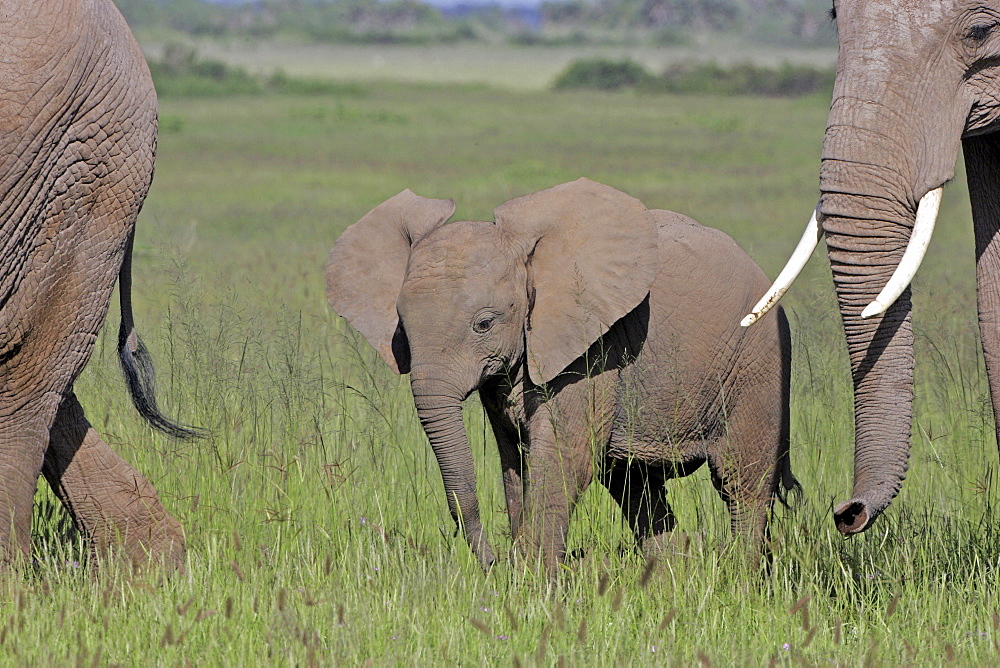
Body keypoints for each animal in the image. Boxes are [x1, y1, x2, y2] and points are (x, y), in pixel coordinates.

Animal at [328, 179, 796, 576]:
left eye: (484, 324)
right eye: (402, 330)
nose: (494, 562)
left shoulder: (592, 348)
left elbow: (563, 458)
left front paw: (533, 586)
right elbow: (514, 458)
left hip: (756, 361)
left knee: (742, 481)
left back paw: (738, 580)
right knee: (635, 487)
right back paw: (666, 581)